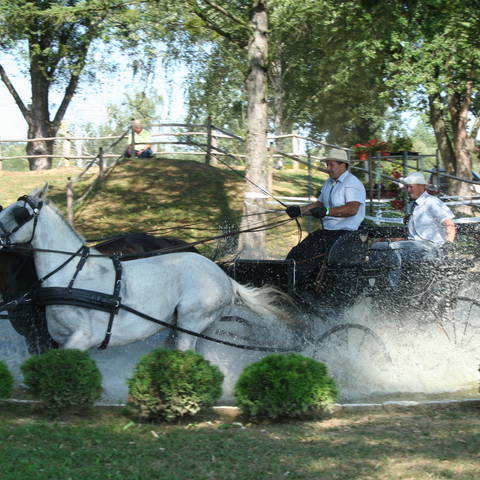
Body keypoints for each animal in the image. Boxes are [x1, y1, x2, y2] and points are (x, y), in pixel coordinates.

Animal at [0, 186, 288, 350]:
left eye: (18, 213)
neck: (72, 278)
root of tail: (223, 277)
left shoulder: (80, 338)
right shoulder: (52, 338)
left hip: (192, 321)